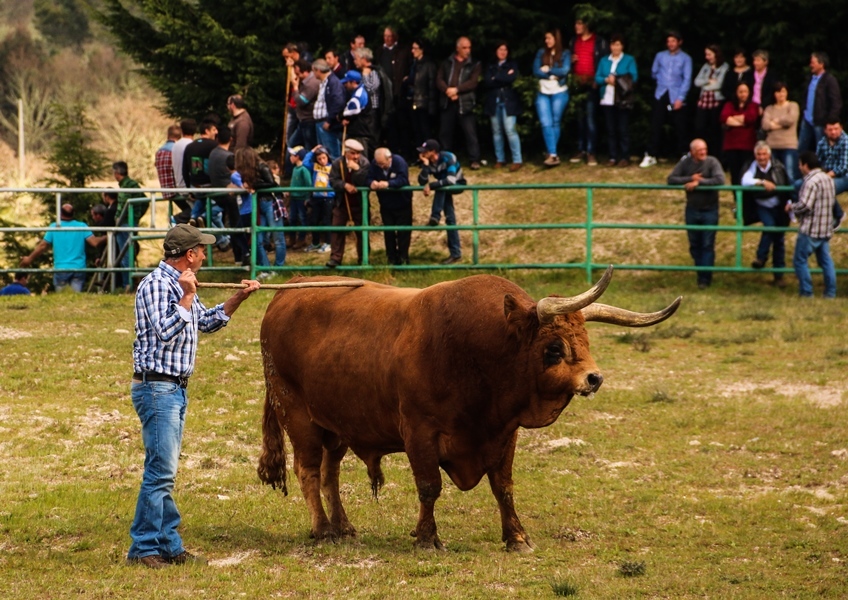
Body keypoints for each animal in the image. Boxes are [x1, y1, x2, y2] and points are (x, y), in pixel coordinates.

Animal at [255, 268, 680, 552]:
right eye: (553, 347)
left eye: (585, 339)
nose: (593, 378)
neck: (475, 350)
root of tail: (287, 292)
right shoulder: (419, 433)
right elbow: (429, 487)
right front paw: (427, 538)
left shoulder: (503, 434)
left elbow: (503, 487)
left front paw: (517, 537)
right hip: (298, 415)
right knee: (308, 471)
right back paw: (323, 530)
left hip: (337, 425)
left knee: (330, 473)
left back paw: (343, 526)